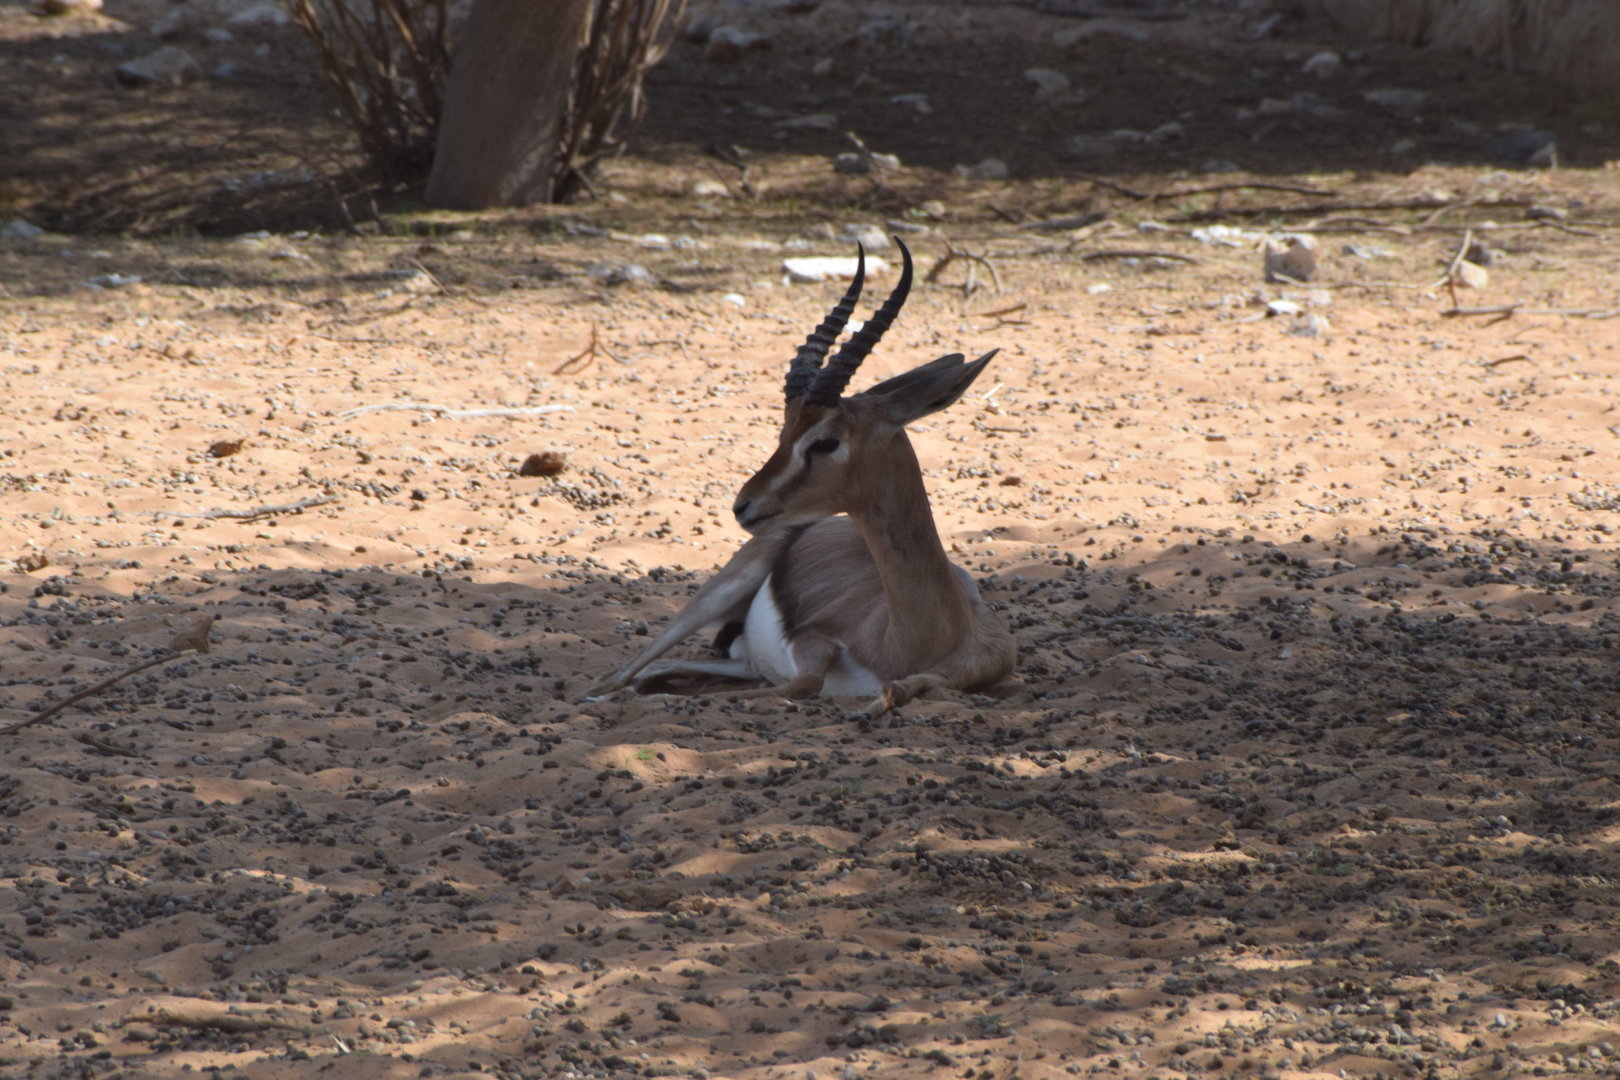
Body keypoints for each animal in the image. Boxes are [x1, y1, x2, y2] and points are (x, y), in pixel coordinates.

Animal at [585, 239, 1015, 716]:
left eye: (824, 442)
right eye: (785, 431)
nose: (744, 505)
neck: (919, 638)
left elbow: (895, 687)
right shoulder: (811, 639)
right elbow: (806, 683)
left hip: (745, 657)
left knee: (676, 668)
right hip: (721, 588)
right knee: (623, 672)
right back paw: (612, 694)